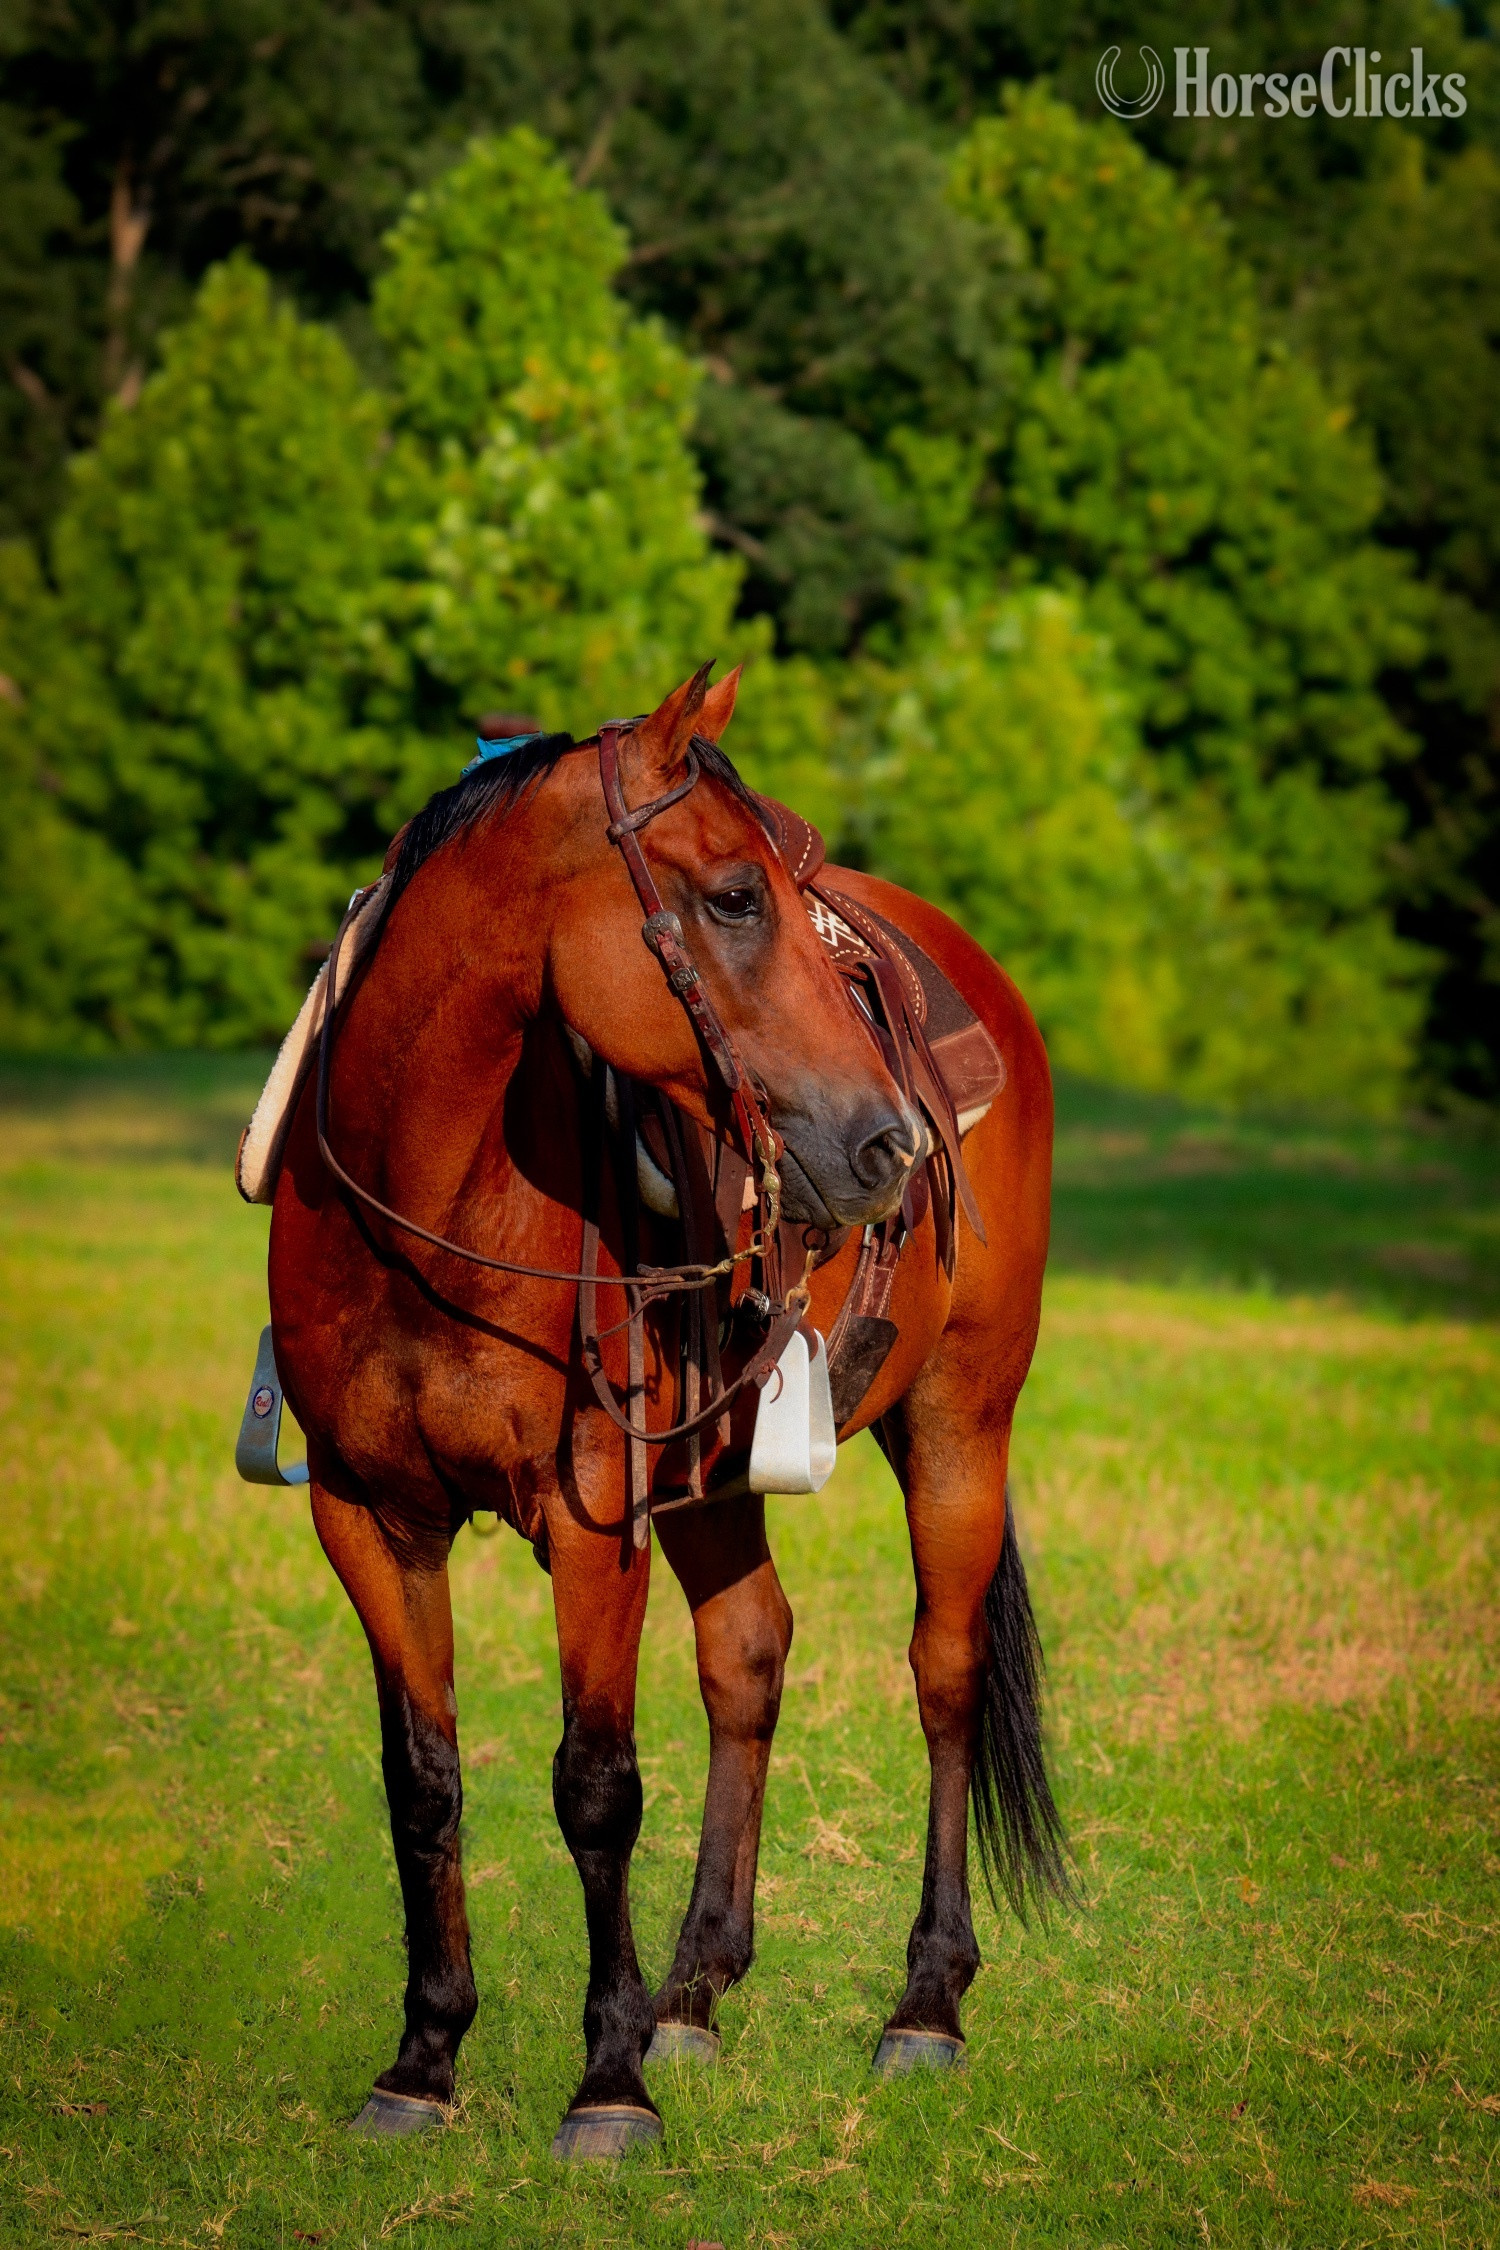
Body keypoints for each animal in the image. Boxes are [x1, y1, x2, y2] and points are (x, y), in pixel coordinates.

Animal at [262, 662, 1066, 2158]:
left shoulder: (594, 1523)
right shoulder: (369, 1516)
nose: (884, 1142)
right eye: (734, 898)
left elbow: (595, 1784)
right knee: (749, 1655)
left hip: (959, 1422)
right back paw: (696, 1991)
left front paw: (607, 2082)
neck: (426, 1203)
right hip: (717, 1473)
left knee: (944, 1673)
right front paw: (424, 2061)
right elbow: (423, 1778)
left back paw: (924, 2004)